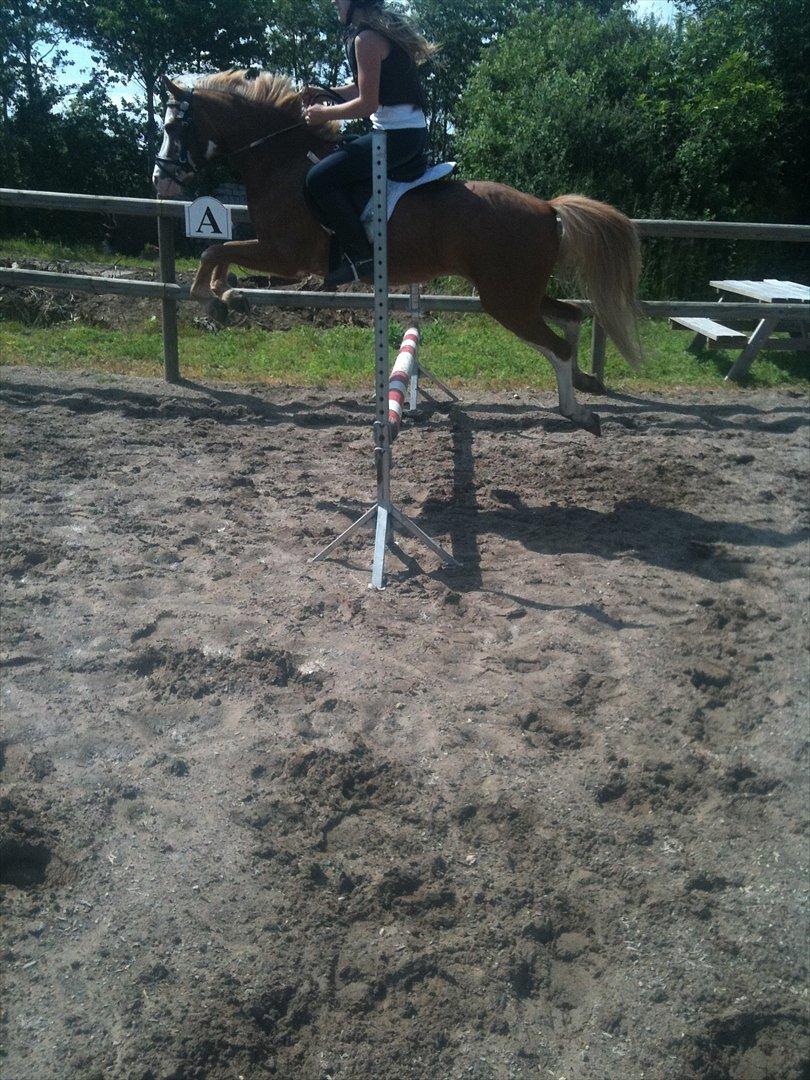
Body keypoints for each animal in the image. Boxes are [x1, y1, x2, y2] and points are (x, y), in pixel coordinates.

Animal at [155, 69, 643, 434]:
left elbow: (217, 251)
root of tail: (546, 208)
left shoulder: (286, 257)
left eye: (174, 128)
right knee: (572, 316)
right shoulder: (279, 256)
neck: (283, 163)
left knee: (556, 344)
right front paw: (227, 296)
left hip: (505, 301)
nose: (160, 180)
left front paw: (216, 298)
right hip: (518, 293)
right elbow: (219, 253)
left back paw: (576, 410)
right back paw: (585, 383)